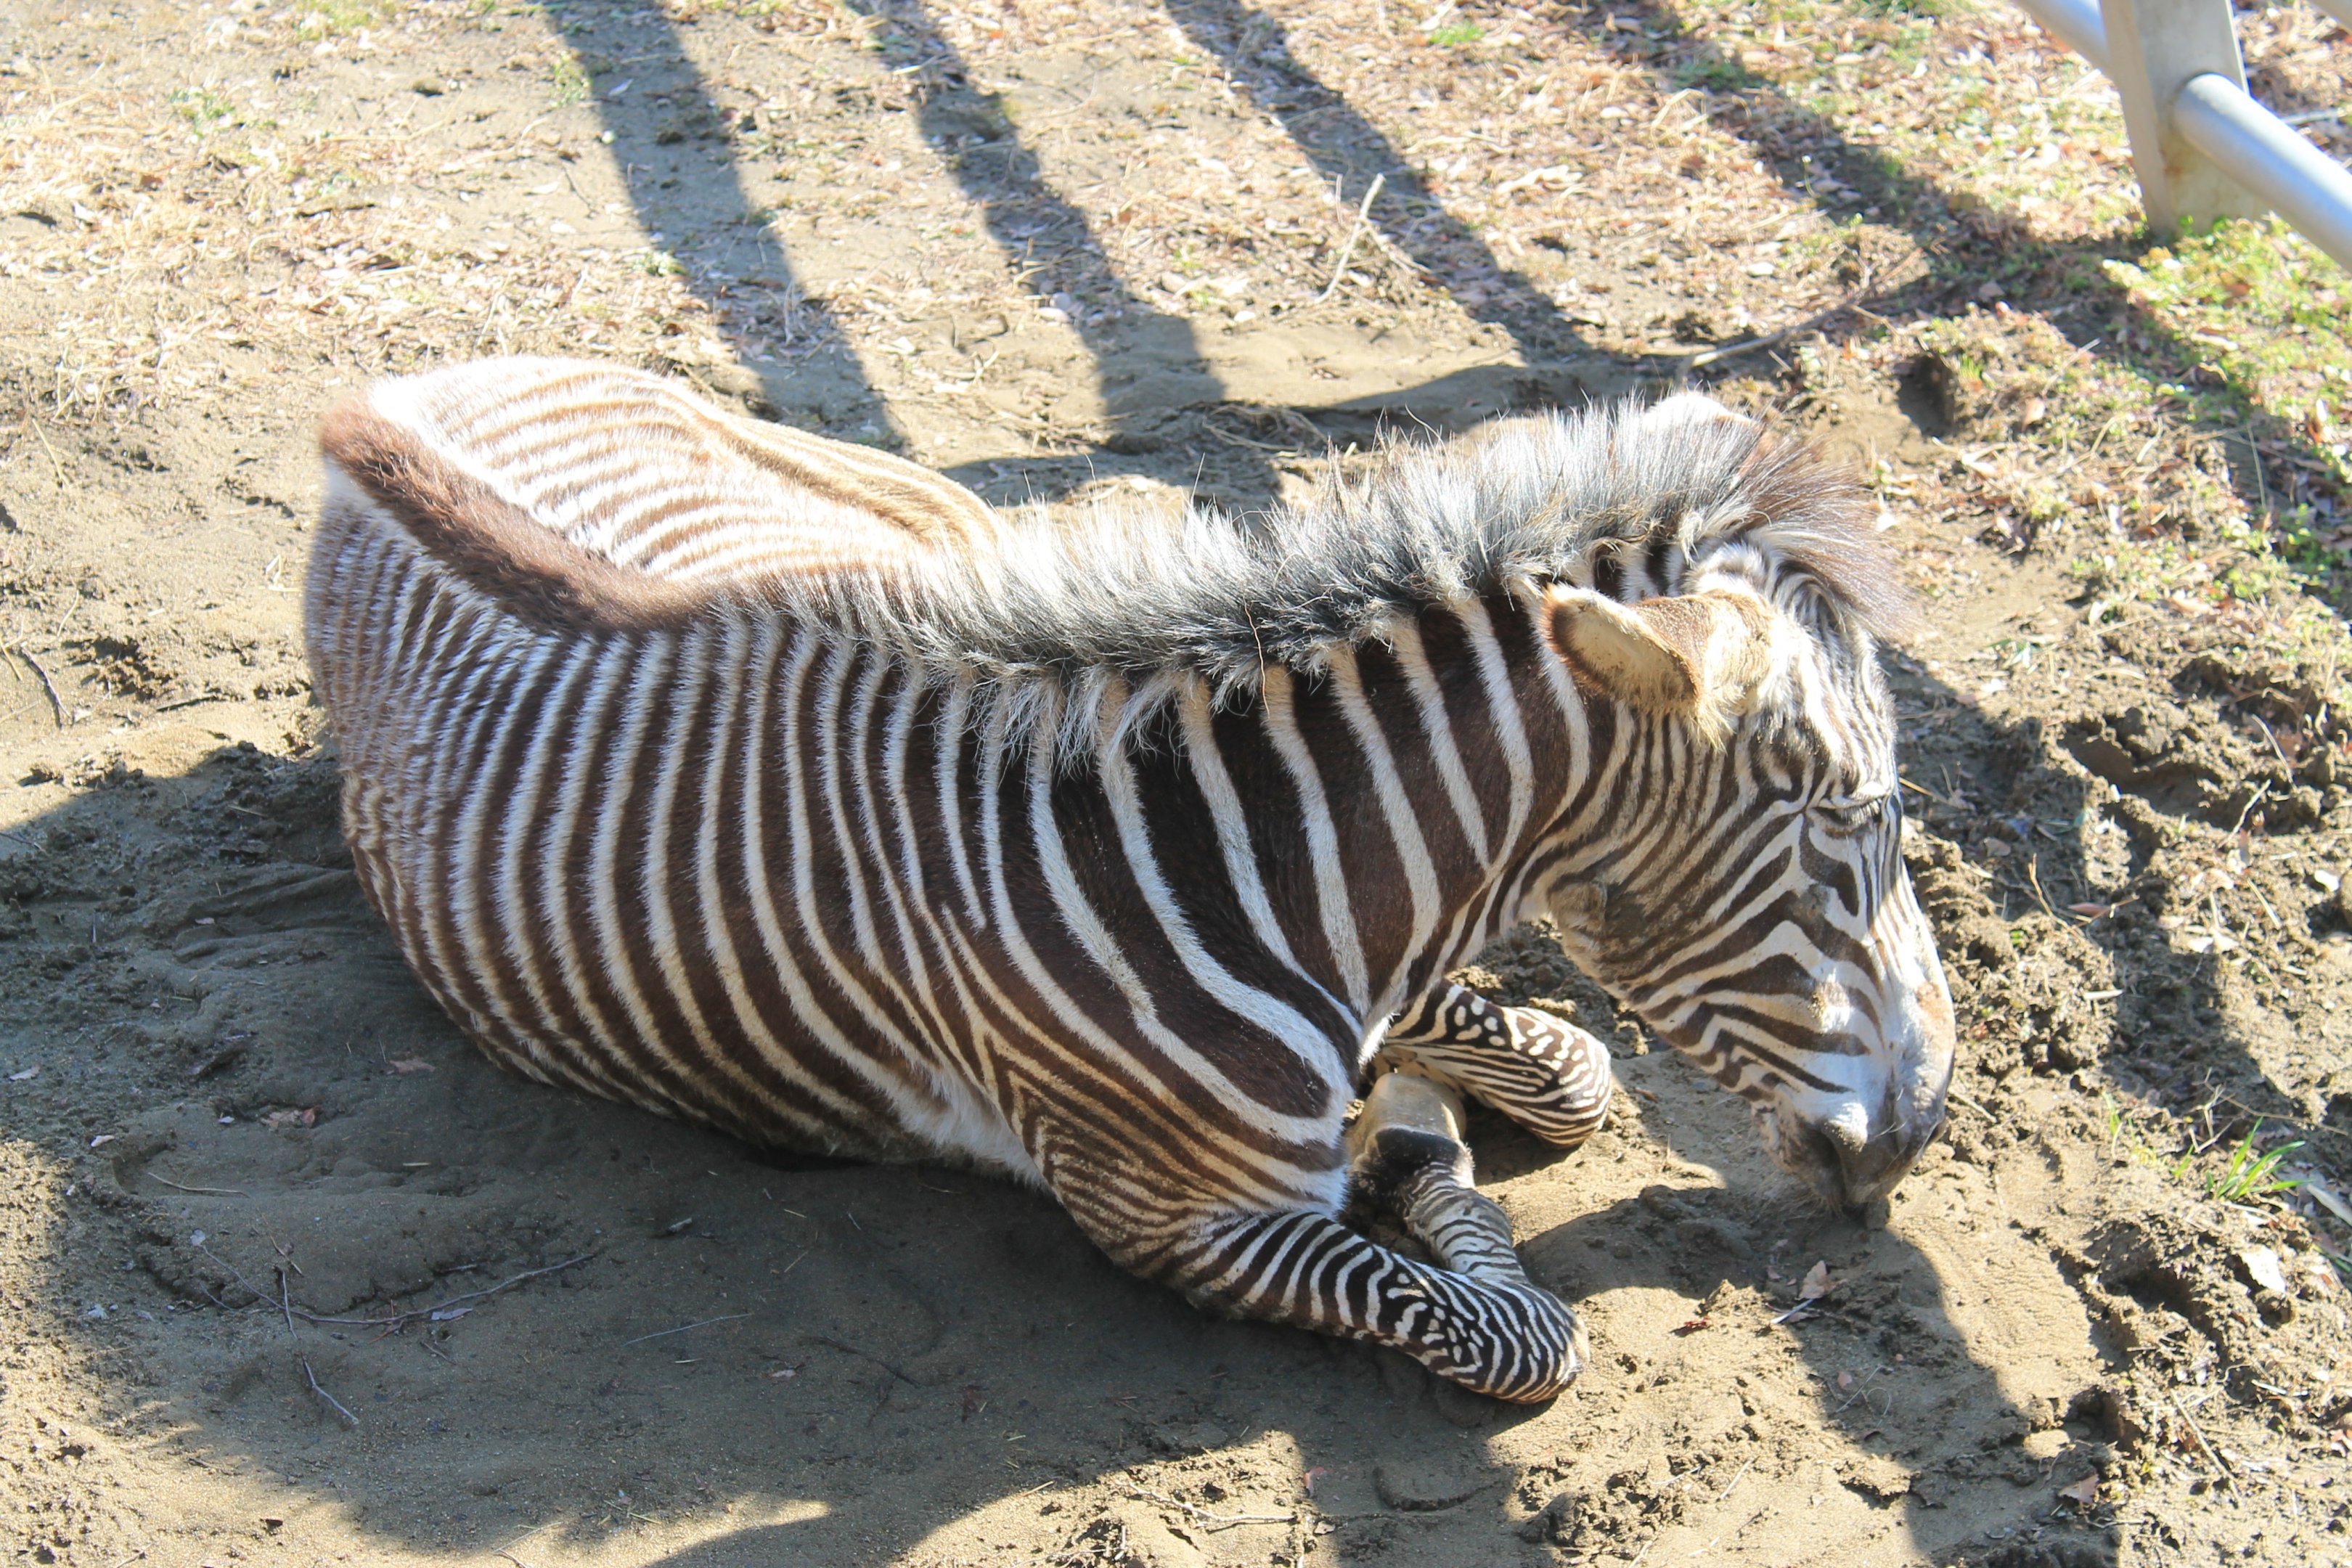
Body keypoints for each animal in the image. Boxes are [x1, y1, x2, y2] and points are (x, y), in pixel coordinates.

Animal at [306, 359, 1955, 1403]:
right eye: (1856, 820)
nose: (1915, 1143)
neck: (1265, 868)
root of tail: (369, 406)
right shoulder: (1177, 1224)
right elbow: (1518, 1332)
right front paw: (1414, 1156)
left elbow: (1566, 1069)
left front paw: (1417, 1121)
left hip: (938, 528)